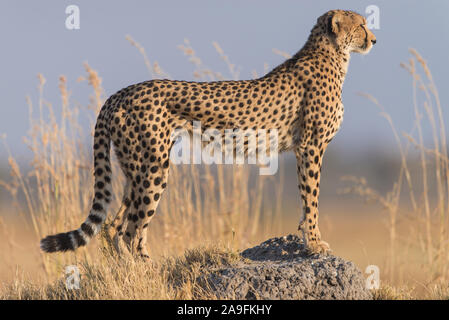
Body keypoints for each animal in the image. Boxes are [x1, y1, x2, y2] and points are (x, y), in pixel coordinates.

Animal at [40, 9, 374, 258]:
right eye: (361, 24)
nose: (374, 38)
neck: (332, 53)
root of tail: (120, 93)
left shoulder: (305, 148)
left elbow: (307, 198)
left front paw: (308, 238)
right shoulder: (311, 147)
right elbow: (311, 197)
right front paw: (315, 242)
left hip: (134, 168)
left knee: (115, 226)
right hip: (152, 168)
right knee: (132, 230)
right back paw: (148, 272)